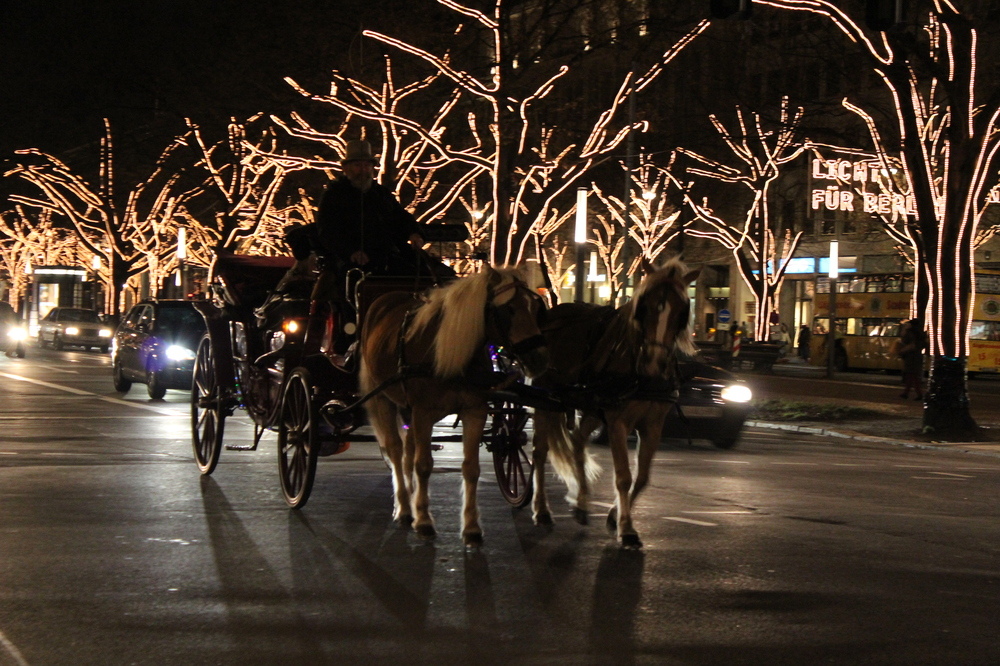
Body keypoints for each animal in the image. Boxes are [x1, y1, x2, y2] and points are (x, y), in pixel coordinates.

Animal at [360, 264, 548, 544]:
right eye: (508, 310)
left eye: (536, 308)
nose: (539, 359)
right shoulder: (423, 412)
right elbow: (424, 465)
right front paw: (424, 520)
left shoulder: (474, 412)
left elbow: (470, 468)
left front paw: (471, 527)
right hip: (383, 398)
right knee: (395, 450)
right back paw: (404, 507)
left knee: (407, 450)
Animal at [532, 256, 704, 548]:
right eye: (643, 306)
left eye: (682, 310)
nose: (654, 362)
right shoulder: (617, 422)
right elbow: (623, 476)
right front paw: (627, 528)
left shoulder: (652, 426)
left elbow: (642, 477)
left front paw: (615, 516)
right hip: (545, 400)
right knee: (540, 451)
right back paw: (542, 510)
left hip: (591, 406)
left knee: (577, 440)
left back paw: (581, 504)